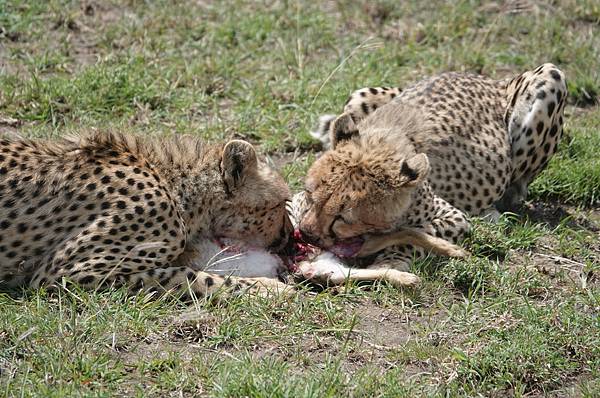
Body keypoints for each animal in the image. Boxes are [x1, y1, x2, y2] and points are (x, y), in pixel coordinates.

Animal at [298, 63, 568, 274]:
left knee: (516, 189)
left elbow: (416, 233)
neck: (378, 147)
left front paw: (391, 259)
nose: (306, 233)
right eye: (311, 196)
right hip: (359, 95)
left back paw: (491, 213)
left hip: (551, 76)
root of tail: (490, 80)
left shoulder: (455, 217)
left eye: (343, 218)